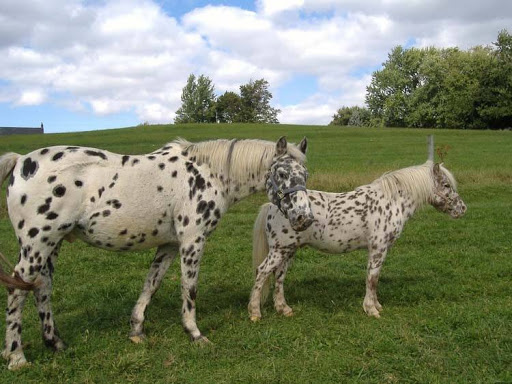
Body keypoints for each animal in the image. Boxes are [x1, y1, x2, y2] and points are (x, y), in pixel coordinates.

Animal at [0, 136, 314, 368]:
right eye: (281, 173)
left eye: (305, 174)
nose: (304, 218)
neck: (208, 174)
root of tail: (20, 161)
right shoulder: (192, 241)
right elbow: (189, 288)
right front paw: (195, 334)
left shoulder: (169, 245)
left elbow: (152, 283)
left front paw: (136, 331)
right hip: (36, 245)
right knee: (18, 290)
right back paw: (16, 357)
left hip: (52, 245)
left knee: (42, 288)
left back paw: (55, 343)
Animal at [249, 160, 468, 322]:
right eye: (446, 185)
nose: (462, 209)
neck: (391, 202)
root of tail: (273, 205)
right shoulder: (378, 248)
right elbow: (372, 278)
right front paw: (372, 310)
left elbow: (374, 279)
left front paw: (376, 305)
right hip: (279, 250)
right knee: (262, 272)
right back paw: (255, 313)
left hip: (288, 251)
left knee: (279, 277)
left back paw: (284, 309)